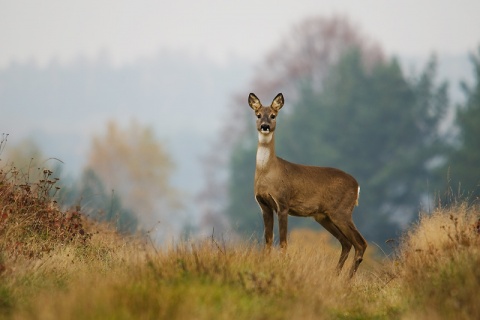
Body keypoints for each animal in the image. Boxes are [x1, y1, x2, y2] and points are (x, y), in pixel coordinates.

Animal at [248, 92, 368, 276]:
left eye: (273, 115)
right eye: (258, 114)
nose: (265, 126)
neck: (268, 172)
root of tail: (357, 186)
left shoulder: (283, 203)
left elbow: (283, 242)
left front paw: (282, 265)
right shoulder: (264, 205)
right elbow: (267, 241)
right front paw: (265, 265)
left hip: (342, 211)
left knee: (360, 243)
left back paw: (347, 278)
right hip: (324, 216)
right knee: (346, 242)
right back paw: (335, 275)